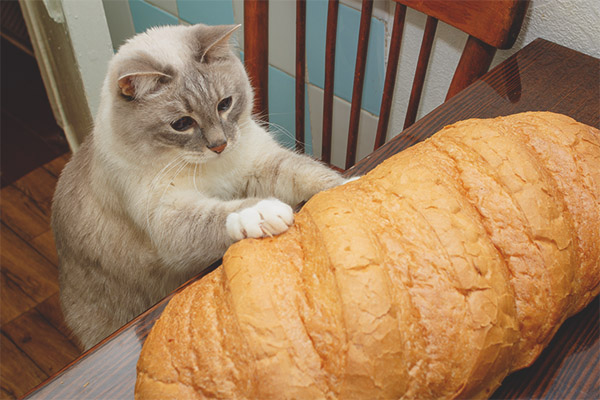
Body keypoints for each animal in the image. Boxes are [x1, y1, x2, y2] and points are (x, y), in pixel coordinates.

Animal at [52, 24, 346, 350]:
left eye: (224, 105)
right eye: (181, 124)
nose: (219, 145)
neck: (212, 168)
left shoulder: (259, 165)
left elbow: (309, 174)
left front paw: (350, 185)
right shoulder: (170, 218)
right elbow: (222, 215)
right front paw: (264, 213)